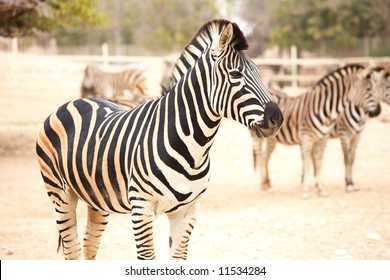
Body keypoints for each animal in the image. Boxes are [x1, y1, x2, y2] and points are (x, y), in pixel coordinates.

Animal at [36, 19, 284, 260]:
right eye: (235, 75)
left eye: (259, 73)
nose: (277, 118)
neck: (193, 148)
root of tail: (73, 102)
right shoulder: (141, 208)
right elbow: (147, 257)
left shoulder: (188, 211)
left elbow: (178, 257)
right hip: (60, 194)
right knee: (72, 248)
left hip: (95, 197)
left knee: (89, 245)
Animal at [250, 64, 386, 198]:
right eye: (368, 89)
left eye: (377, 88)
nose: (378, 111)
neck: (326, 109)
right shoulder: (313, 137)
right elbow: (308, 163)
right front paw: (305, 190)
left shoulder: (324, 139)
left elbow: (320, 162)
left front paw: (321, 188)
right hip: (257, 136)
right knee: (259, 155)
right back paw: (262, 185)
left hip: (272, 138)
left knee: (265, 156)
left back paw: (267, 184)